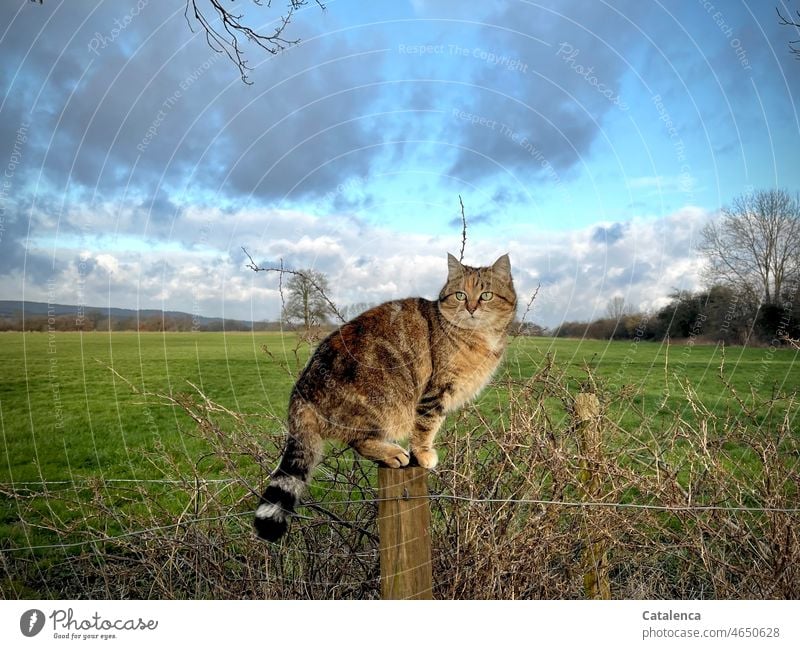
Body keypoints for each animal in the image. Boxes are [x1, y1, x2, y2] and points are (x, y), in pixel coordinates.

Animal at [256, 251, 520, 540]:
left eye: (486, 295)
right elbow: (425, 427)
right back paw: (392, 453)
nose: (471, 308)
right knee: (358, 440)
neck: (479, 338)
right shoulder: (434, 392)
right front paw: (423, 453)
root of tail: (300, 391)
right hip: (381, 404)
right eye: (461, 295)